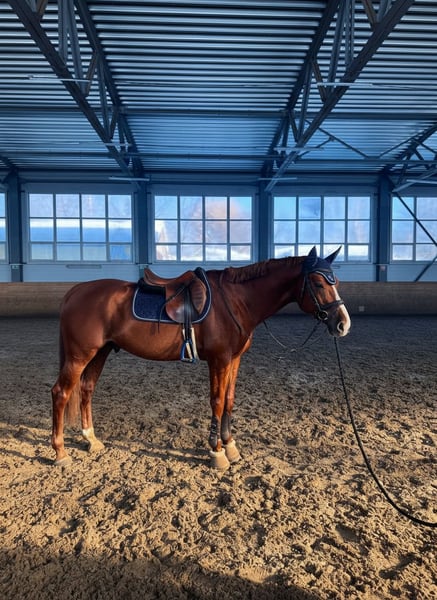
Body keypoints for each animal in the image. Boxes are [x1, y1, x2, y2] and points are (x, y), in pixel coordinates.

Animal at [51, 246, 351, 470]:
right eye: (318, 282)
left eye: (335, 282)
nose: (343, 324)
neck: (236, 301)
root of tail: (75, 292)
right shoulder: (219, 360)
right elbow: (216, 402)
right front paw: (217, 453)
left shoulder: (234, 360)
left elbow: (229, 400)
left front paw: (230, 447)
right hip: (79, 355)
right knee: (61, 393)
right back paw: (60, 452)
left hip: (99, 352)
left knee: (86, 389)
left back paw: (91, 440)